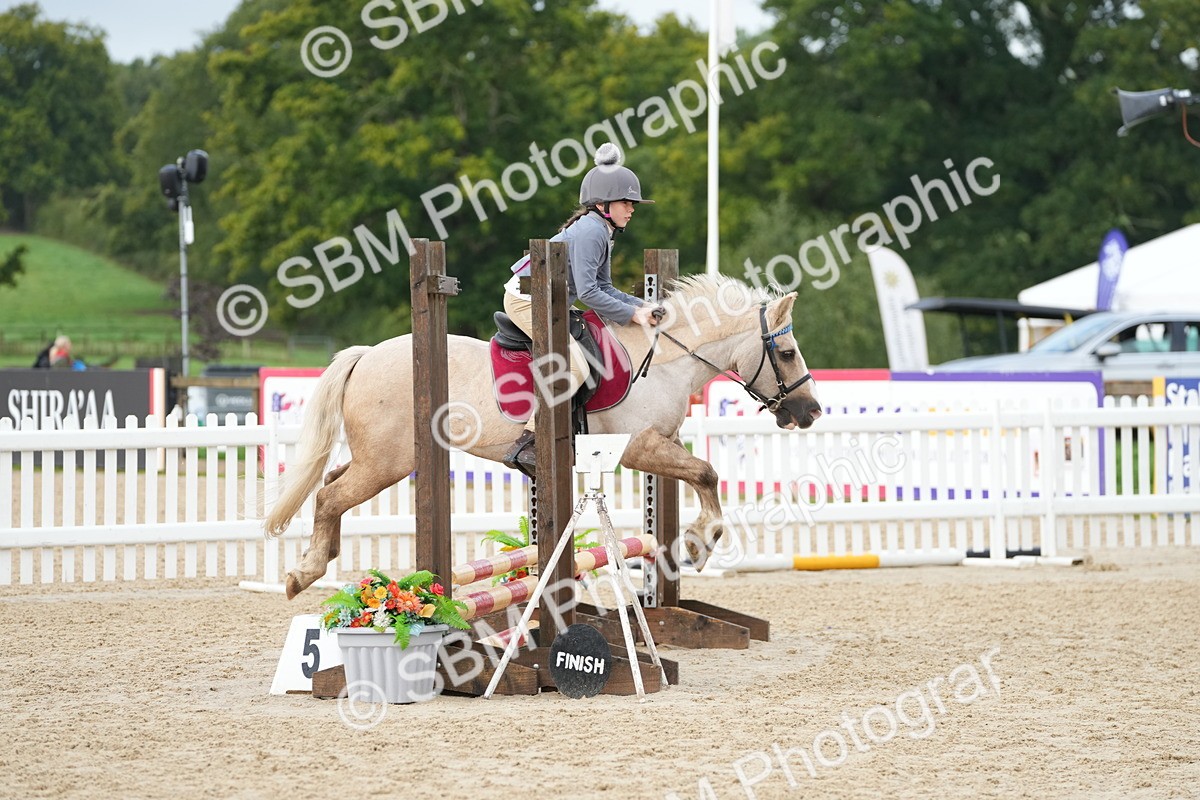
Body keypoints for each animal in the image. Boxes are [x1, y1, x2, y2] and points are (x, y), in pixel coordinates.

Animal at [265, 274, 822, 599]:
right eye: (788, 352)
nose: (812, 411)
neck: (663, 360)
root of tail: (365, 355)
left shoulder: (656, 444)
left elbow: (703, 474)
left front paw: (696, 542)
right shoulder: (638, 447)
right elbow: (706, 472)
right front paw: (699, 543)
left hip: (379, 458)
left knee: (330, 483)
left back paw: (320, 560)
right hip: (388, 461)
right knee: (331, 495)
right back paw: (302, 573)